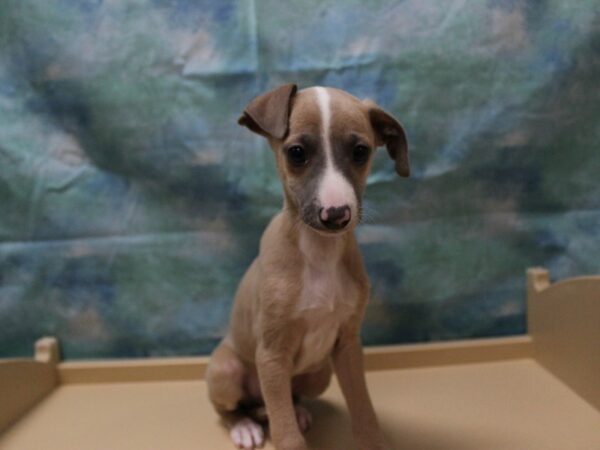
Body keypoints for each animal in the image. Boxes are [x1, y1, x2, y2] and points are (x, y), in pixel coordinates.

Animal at [206, 84, 408, 450]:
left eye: (360, 151)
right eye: (297, 153)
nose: (336, 214)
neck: (319, 253)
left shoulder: (348, 344)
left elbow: (363, 408)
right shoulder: (271, 354)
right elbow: (286, 432)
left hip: (319, 372)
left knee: (288, 399)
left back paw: (293, 412)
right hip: (227, 371)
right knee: (236, 409)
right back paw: (244, 426)